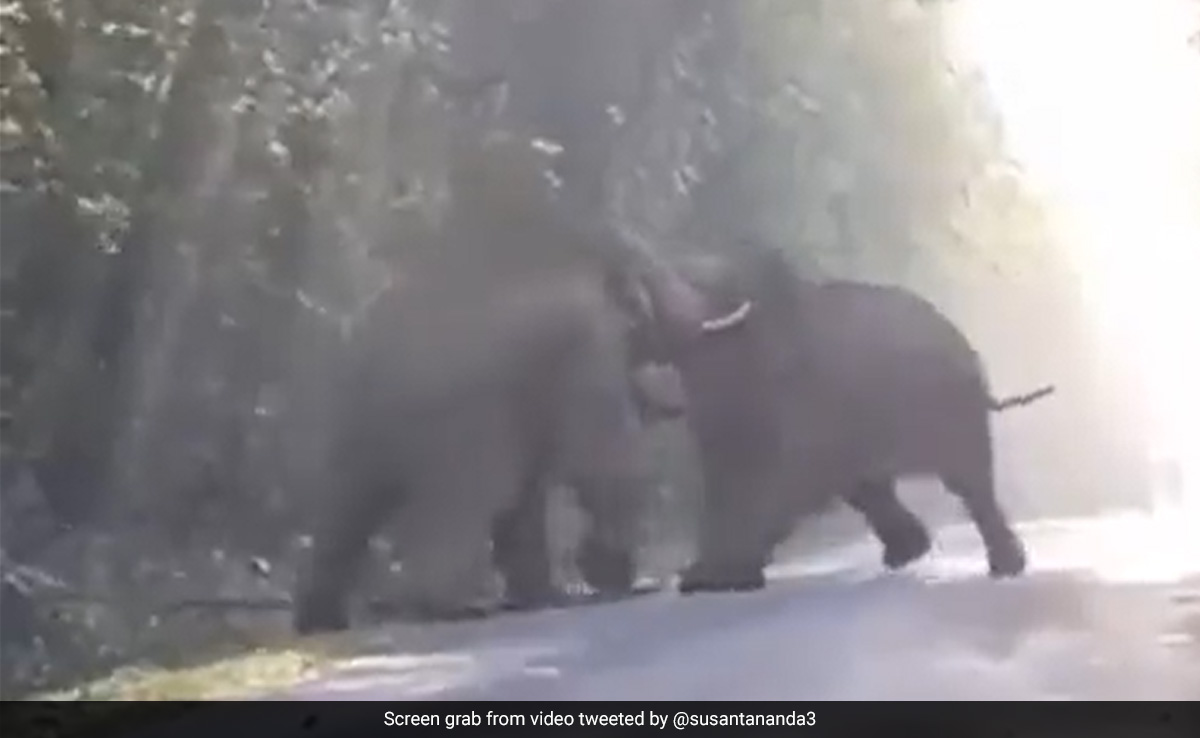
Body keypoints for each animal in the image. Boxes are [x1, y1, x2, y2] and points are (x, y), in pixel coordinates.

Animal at [624, 245, 1055, 594]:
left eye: (704, 284)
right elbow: (730, 470)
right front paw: (703, 577)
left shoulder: (795, 397)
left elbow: (773, 478)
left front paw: (714, 579)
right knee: (873, 486)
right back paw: (909, 553)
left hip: (948, 408)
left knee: (967, 481)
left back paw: (1003, 567)